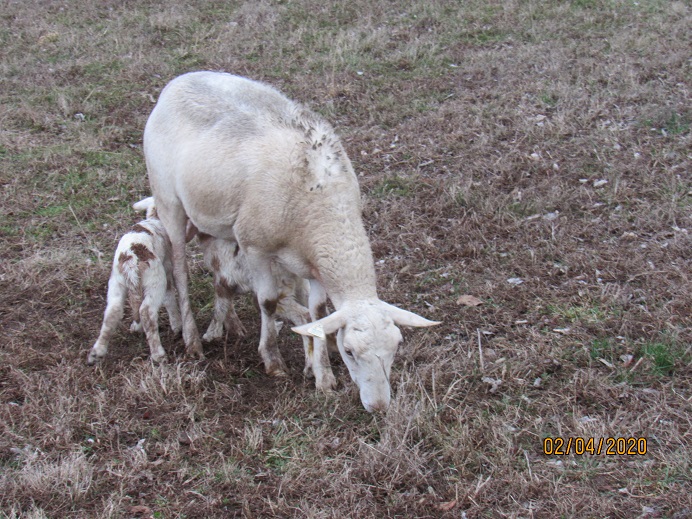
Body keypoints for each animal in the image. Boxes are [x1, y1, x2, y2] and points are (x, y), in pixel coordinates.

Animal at [88, 196, 181, 366]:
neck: (154, 218)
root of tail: (130, 260)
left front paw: (136, 327)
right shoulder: (167, 268)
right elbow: (169, 297)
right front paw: (177, 325)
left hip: (117, 282)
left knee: (113, 311)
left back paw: (97, 353)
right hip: (155, 280)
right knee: (146, 311)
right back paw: (158, 355)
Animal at [143, 71, 440, 412]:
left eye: (396, 347)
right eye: (349, 351)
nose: (378, 406)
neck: (322, 203)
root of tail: (178, 81)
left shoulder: (314, 264)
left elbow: (318, 313)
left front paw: (322, 375)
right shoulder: (254, 247)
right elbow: (268, 302)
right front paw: (273, 361)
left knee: (221, 277)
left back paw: (227, 326)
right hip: (168, 201)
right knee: (180, 271)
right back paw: (192, 340)